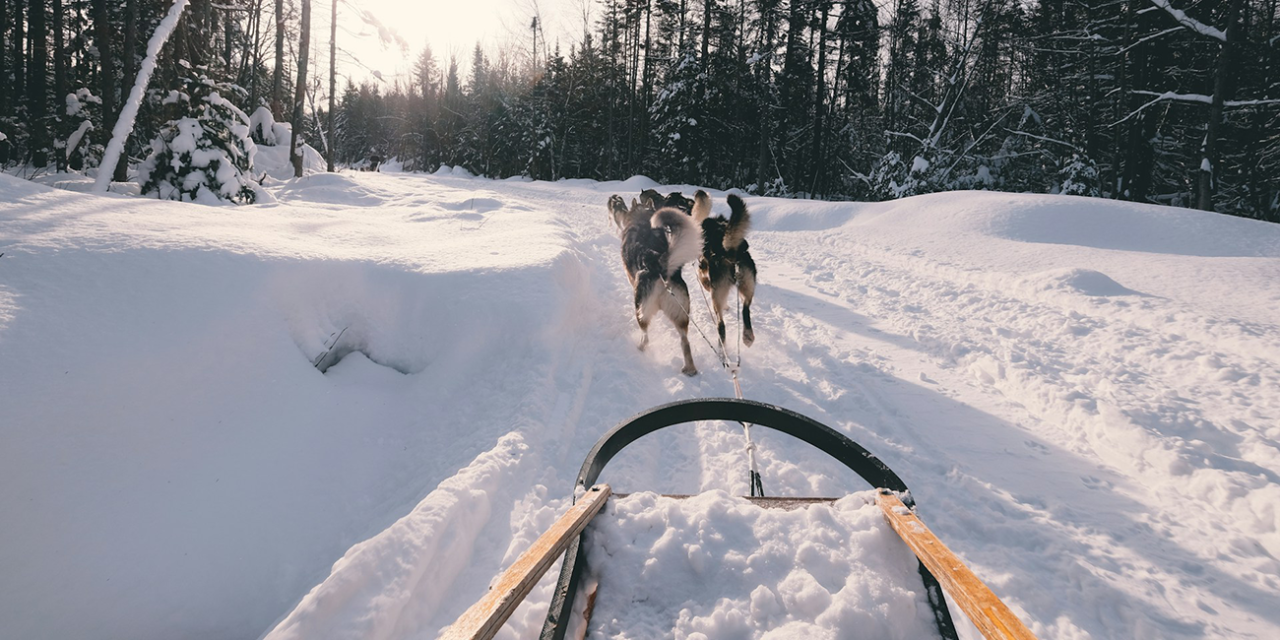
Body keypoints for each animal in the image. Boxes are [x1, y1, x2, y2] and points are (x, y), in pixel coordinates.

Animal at [606, 194, 706, 373]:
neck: (642, 220)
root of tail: (659, 265)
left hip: (641, 308)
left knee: (645, 336)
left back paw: (640, 348)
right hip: (681, 314)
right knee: (685, 341)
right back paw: (690, 369)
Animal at [696, 190, 752, 350]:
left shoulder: (702, 269)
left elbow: (704, 281)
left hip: (716, 296)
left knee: (721, 325)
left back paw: (722, 346)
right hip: (747, 284)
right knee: (746, 308)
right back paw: (748, 336)